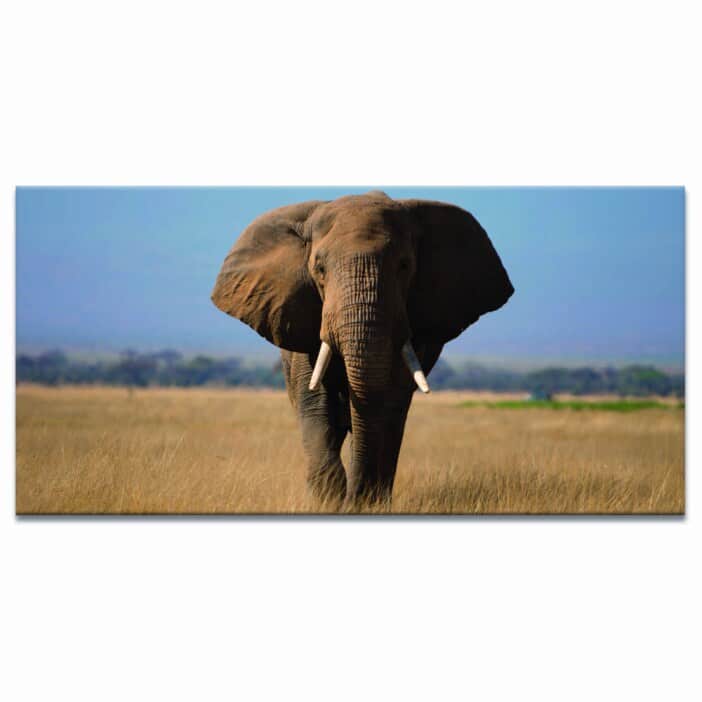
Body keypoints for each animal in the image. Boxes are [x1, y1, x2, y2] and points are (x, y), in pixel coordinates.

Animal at [211, 191, 514, 509]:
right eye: (319, 269)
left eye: (404, 266)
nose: (354, 500)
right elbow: (315, 400)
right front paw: (329, 503)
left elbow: (388, 401)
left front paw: (364, 502)